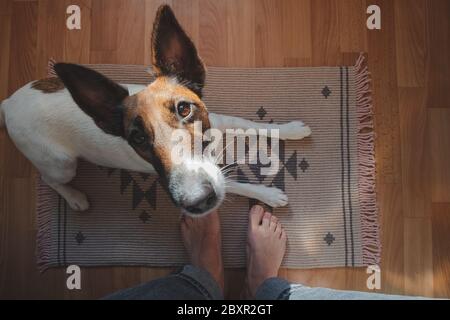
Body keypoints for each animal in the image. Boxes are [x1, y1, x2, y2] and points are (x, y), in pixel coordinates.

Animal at [0, 5, 310, 216]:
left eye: (184, 109)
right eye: (137, 137)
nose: (196, 203)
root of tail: (9, 103)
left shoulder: (219, 118)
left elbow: (251, 123)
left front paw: (290, 130)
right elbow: (237, 183)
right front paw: (268, 194)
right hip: (60, 163)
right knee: (49, 179)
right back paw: (74, 197)